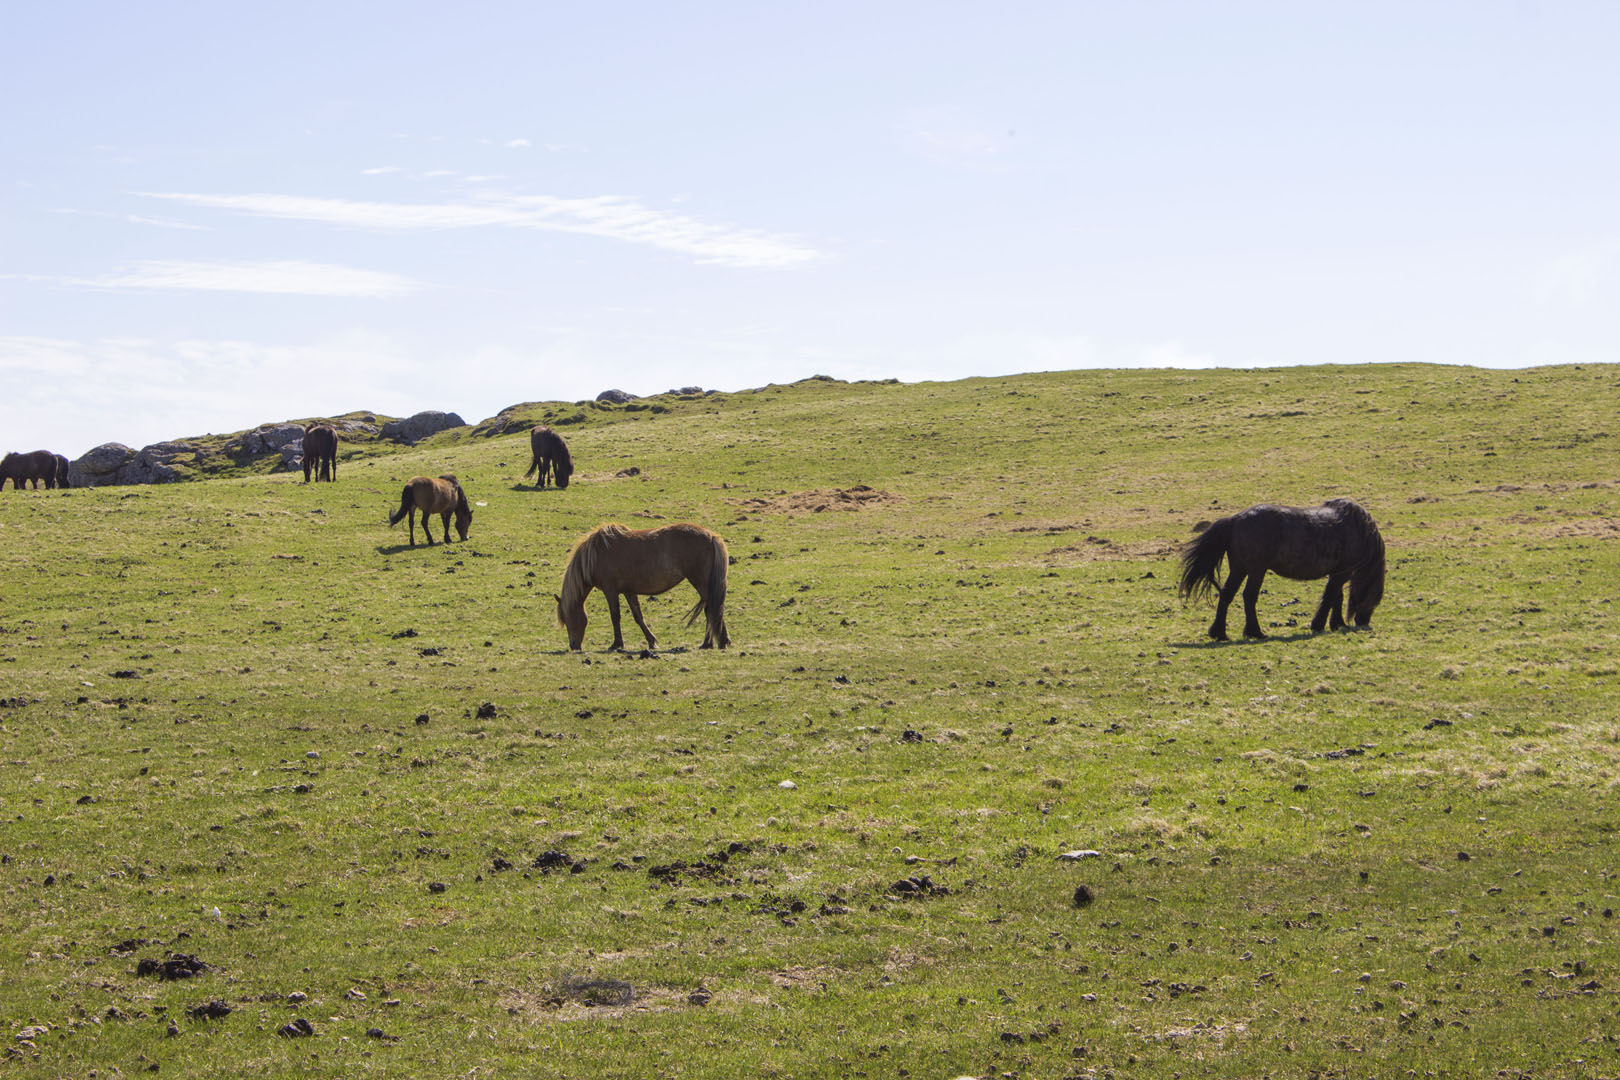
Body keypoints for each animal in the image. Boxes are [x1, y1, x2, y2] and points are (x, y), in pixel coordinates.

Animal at [555, 522, 729, 651]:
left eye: (567, 618)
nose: (573, 646)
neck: (596, 555)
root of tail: (711, 536)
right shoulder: (628, 591)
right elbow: (638, 616)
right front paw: (651, 641)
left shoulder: (610, 590)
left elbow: (615, 616)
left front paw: (616, 644)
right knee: (713, 609)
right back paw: (719, 641)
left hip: (701, 583)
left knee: (711, 609)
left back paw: (709, 643)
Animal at [1179, 498, 1385, 641]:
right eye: (1375, 597)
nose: (1363, 621)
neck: (1358, 529)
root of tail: (1235, 519)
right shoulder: (1342, 572)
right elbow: (1330, 597)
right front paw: (1319, 624)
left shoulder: (1337, 573)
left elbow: (1336, 597)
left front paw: (1337, 624)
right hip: (1256, 570)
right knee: (1249, 596)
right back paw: (1255, 632)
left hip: (1239, 569)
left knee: (1227, 594)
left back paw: (1219, 633)